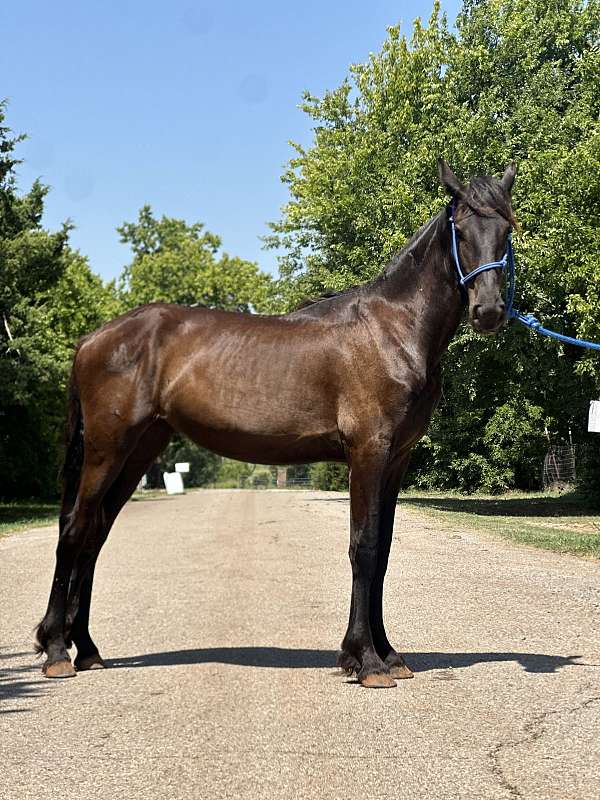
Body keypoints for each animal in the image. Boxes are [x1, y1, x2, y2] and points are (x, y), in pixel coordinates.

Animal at [35, 160, 517, 688]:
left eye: (507, 229)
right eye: (461, 230)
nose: (489, 311)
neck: (393, 330)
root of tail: (93, 338)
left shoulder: (396, 459)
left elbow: (385, 551)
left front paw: (387, 654)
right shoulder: (368, 451)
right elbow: (365, 547)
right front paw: (366, 661)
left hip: (139, 449)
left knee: (95, 534)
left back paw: (86, 648)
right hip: (106, 449)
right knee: (75, 531)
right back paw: (57, 650)